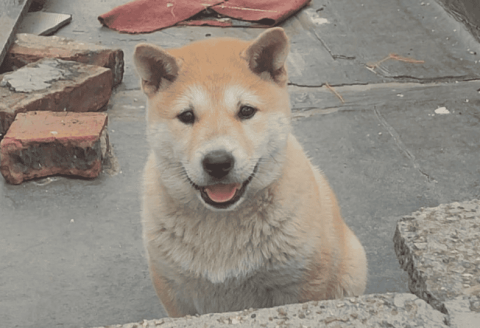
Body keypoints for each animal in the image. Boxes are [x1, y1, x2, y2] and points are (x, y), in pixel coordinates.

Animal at [133, 28, 366, 318]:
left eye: (246, 111)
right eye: (187, 116)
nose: (218, 162)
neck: (221, 226)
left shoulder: (303, 286)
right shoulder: (174, 291)